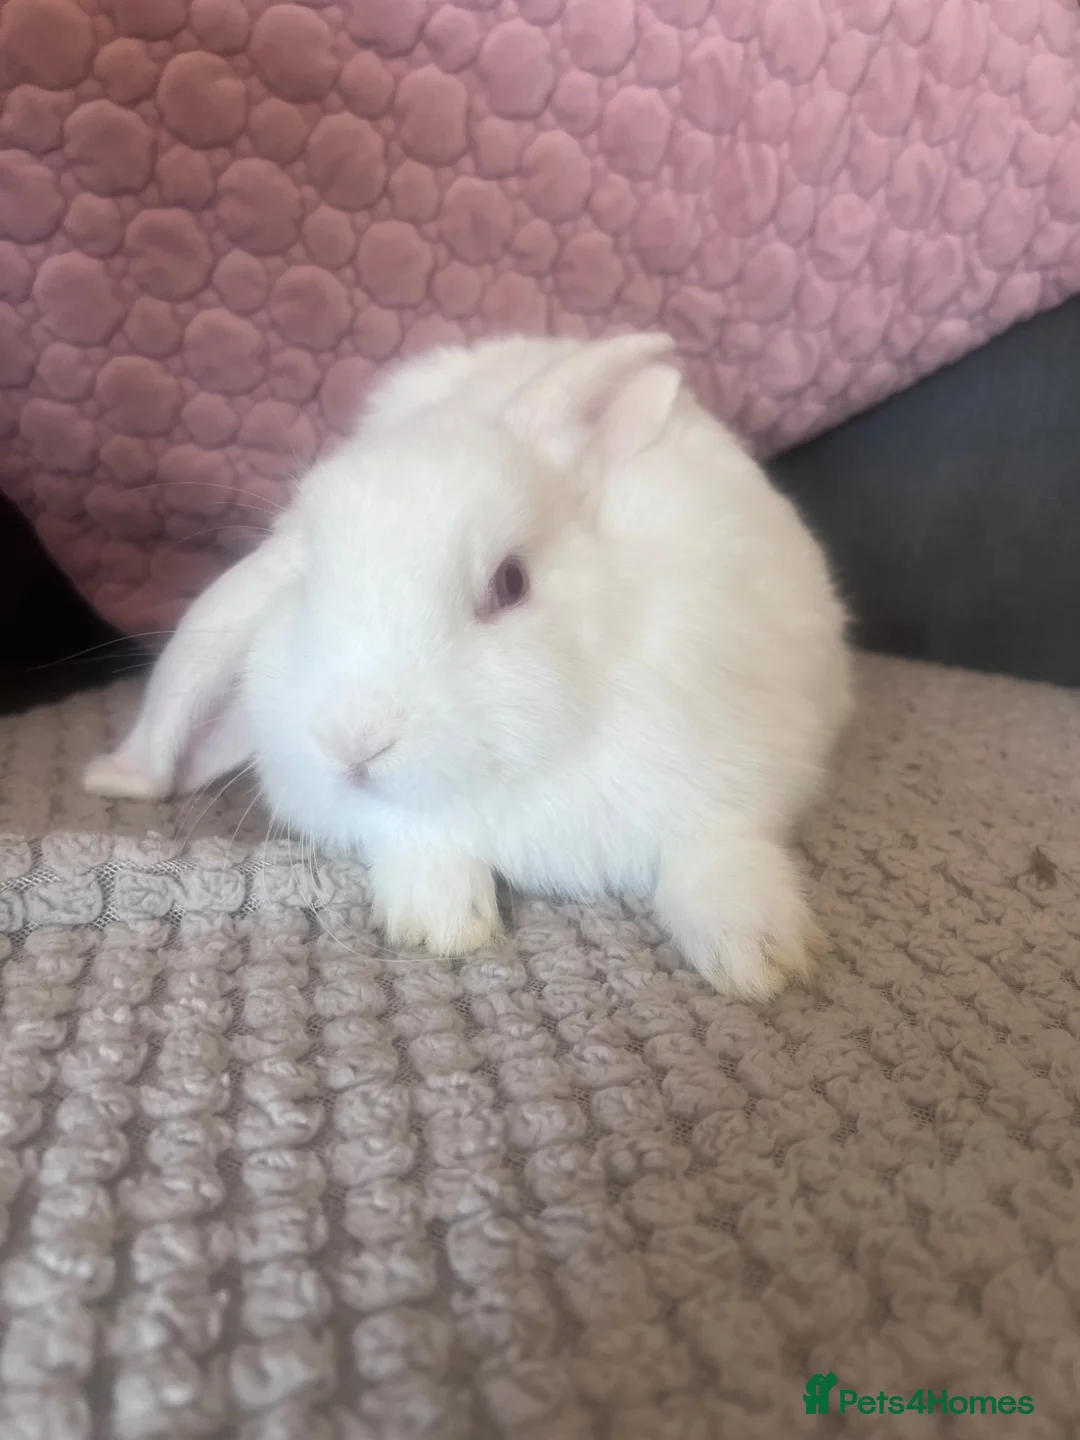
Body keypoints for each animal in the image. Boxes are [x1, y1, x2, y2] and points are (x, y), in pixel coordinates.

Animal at [83, 331, 852, 1000]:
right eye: (306, 586)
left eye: (511, 583)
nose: (352, 740)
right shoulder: (391, 820)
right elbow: (420, 843)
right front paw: (442, 926)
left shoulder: (734, 781)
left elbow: (719, 855)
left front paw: (761, 960)